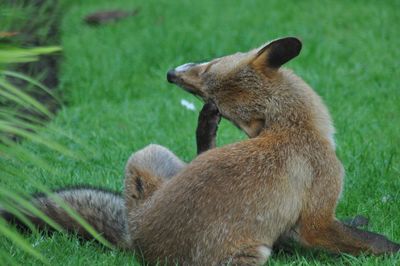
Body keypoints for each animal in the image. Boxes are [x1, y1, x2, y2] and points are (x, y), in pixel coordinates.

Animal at [0, 36, 400, 264]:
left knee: (195, 155)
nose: (170, 75)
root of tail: (138, 242)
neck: (296, 129)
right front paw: (388, 248)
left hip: (149, 154)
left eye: (206, 73)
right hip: (249, 256)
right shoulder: (317, 215)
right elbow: (362, 240)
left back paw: (203, 132)